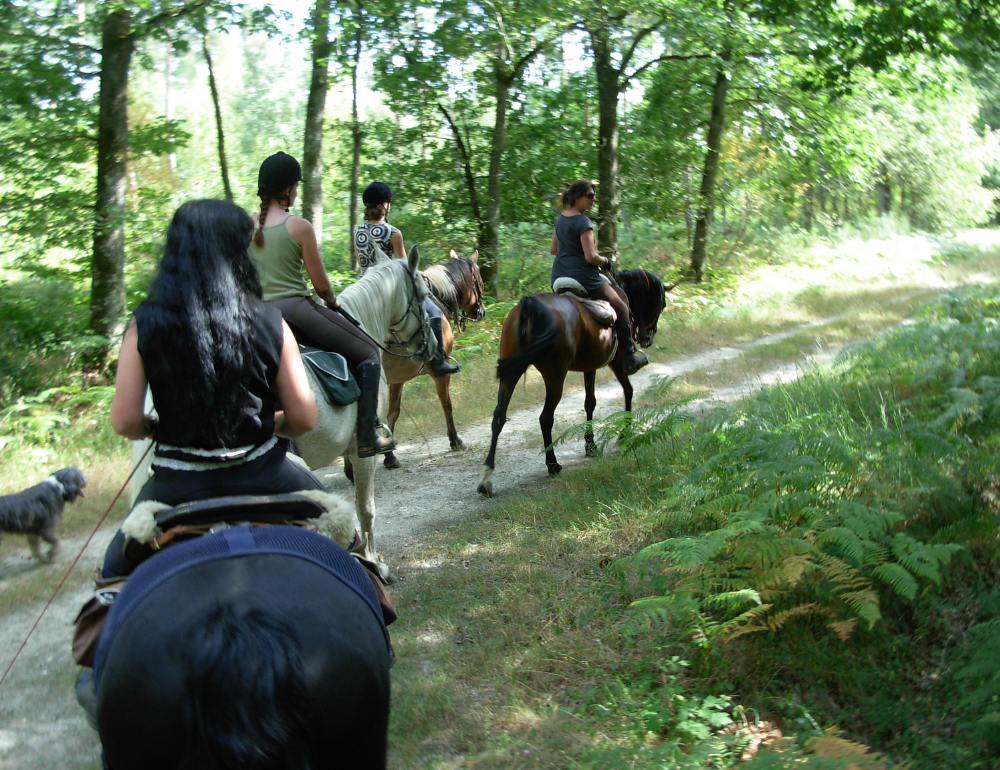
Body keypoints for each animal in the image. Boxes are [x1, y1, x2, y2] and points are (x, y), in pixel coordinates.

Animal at [474, 270, 668, 496]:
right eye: (661, 303)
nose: (647, 339)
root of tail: (529, 305)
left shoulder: (589, 367)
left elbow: (590, 403)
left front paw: (590, 444)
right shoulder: (617, 362)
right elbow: (627, 391)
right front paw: (623, 433)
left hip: (510, 373)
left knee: (499, 417)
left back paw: (486, 477)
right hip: (555, 375)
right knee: (545, 418)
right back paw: (553, 465)